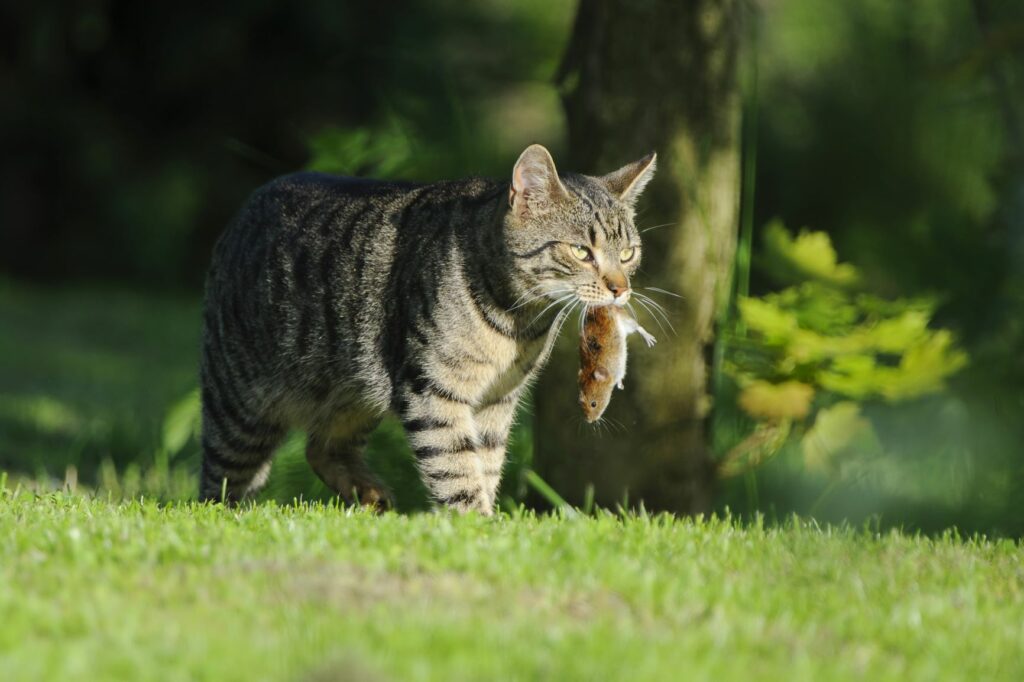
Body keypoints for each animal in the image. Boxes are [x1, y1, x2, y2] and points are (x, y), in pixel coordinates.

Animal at [199, 144, 655, 516]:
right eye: (580, 251)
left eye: (628, 253)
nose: (620, 289)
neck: (517, 323)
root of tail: (246, 208)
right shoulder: (432, 388)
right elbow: (455, 466)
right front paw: (475, 525)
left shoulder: (497, 399)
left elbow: (485, 464)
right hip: (239, 410)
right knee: (217, 484)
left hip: (352, 394)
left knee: (320, 447)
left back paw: (371, 496)